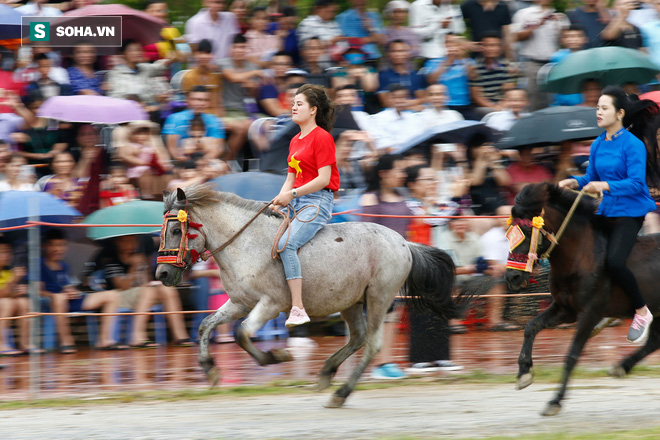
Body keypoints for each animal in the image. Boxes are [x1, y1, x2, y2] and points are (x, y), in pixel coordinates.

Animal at [155, 184, 458, 408]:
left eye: (176, 229)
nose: (162, 274)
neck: (245, 244)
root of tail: (403, 242)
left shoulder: (271, 304)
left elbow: (241, 334)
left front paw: (276, 356)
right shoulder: (241, 303)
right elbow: (206, 325)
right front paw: (210, 368)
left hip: (378, 299)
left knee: (372, 345)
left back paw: (340, 393)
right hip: (350, 302)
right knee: (358, 338)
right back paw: (326, 372)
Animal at [506, 182, 660, 416]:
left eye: (527, 231)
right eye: (509, 233)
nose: (512, 277)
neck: (581, 256)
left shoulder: (590, 313)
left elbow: (572, 355)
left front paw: (555, 401)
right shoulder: (565, 309)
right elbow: (531, 327)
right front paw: (524, 373)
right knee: (654, 341)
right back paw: (620, 367)